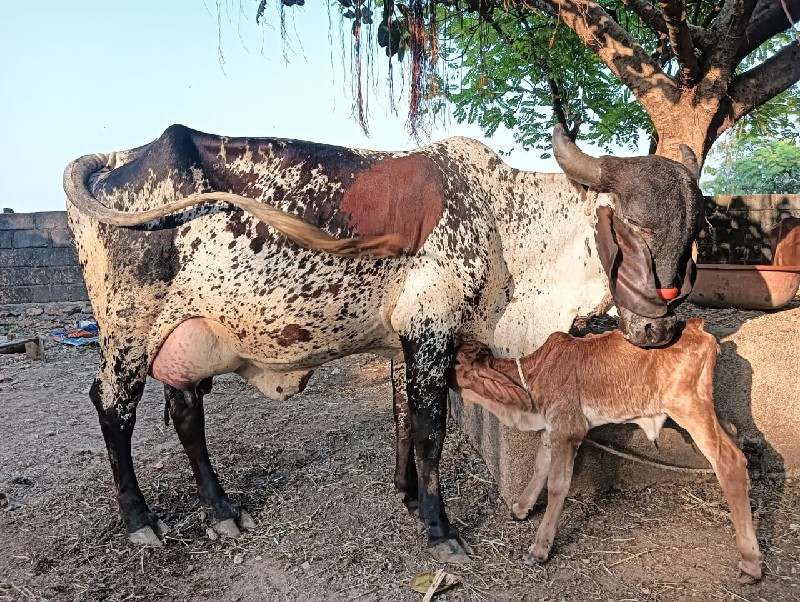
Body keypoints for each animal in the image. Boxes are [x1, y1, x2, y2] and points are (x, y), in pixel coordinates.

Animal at [62, 124, 700, 560]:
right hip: (128, 333)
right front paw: (440, 530)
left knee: (185, 412)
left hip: (186, 337)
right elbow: (430, 429)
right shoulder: (432, 329)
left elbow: (402, 420)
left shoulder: (403, 342)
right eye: (635, 223)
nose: (662, 328)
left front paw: (408, 495)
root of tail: (123, 157)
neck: (500, 220)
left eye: (697, 230)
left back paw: (221, 511)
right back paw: (141, 522)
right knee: (112, 410)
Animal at [450, 316, 764, 584]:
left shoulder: (568, 429)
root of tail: (697, 326)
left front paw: (539, 549)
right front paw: (520, 508)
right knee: (734, 433)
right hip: (703, 408)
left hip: (689, 407)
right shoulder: (552, 430)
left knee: (730, 461)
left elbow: (557, 484)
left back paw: (750, 563)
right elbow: (540, 467)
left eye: (453, 361)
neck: (535, 374)